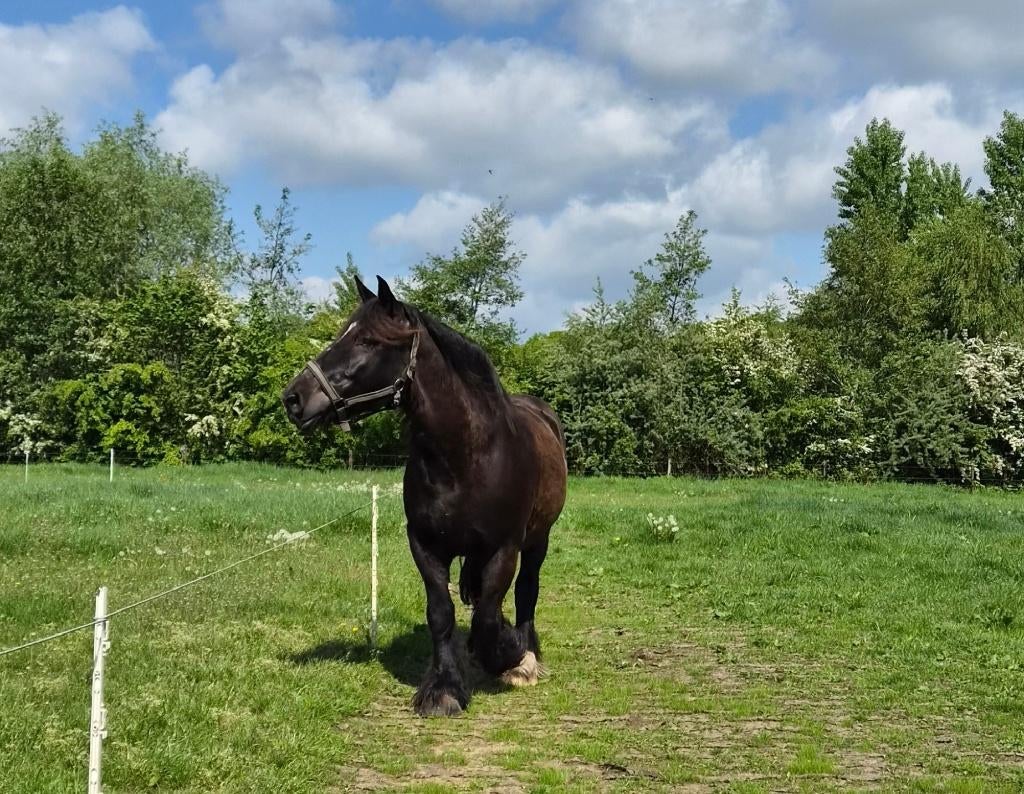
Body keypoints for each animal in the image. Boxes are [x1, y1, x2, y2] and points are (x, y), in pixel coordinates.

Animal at [282, 276, 567, 717]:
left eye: (368, 340)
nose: (293, 398)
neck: (466, 455)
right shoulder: (426, 545)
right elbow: (443, 612)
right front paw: (444, 688)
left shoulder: (504, 547)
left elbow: (489, 615)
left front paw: (509, 655)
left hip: (538, 540)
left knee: (525, 590)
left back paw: (525, 656)